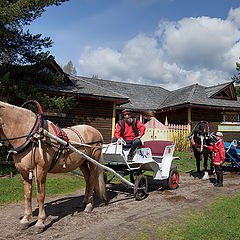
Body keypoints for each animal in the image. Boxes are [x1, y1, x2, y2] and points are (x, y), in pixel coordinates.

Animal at [0, 101, 106, 232]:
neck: (31, 134)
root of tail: (96, 132)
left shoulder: (40, 170)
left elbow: (40, 196)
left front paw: (40, 222)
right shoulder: (24, 172)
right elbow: (27, 195)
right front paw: (25, 219)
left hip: (93, 161)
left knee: (91, 180)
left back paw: (89, 205)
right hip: (82, 162)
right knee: (87, 179)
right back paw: (84, 201)